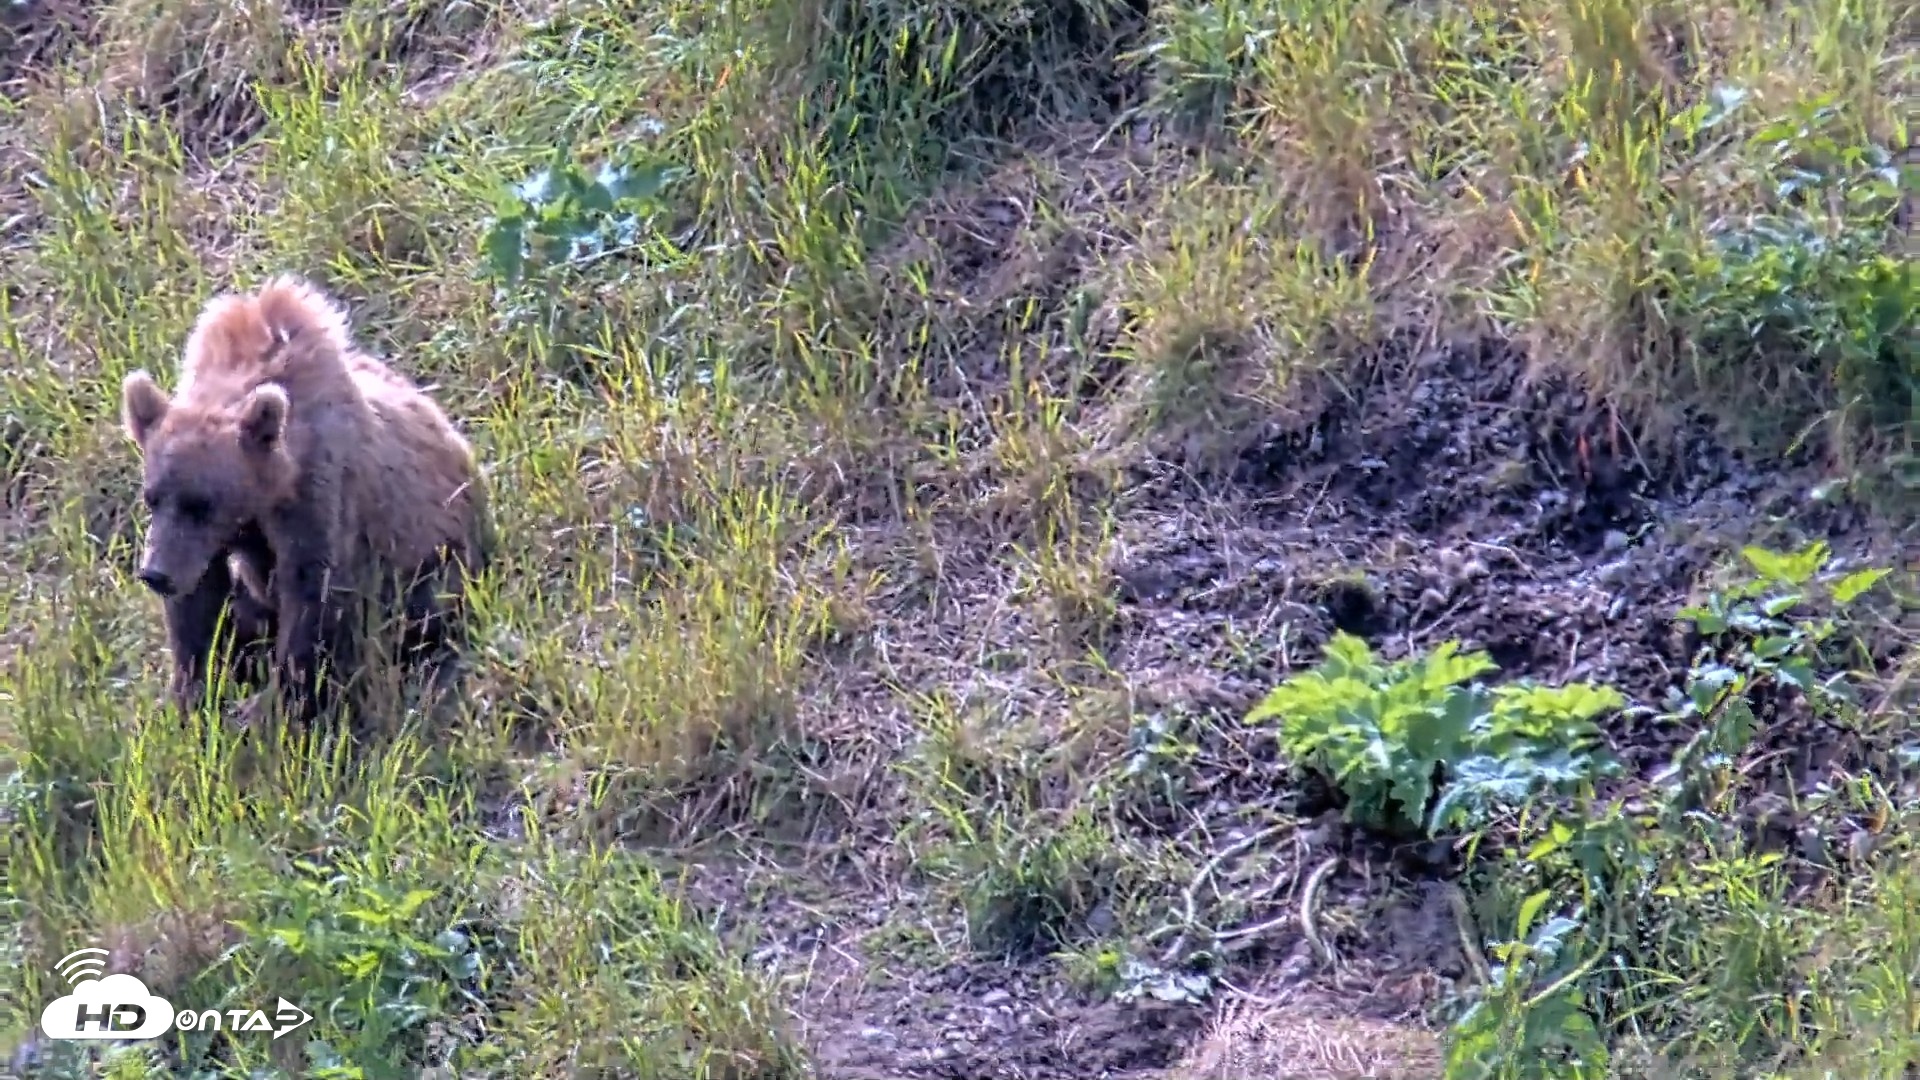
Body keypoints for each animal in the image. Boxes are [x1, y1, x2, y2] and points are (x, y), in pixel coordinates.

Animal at [119, 273, 494, 730]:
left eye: (201, 503)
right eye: (152, 498)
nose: (156, 574)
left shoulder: (317, 496)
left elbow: (313, 596)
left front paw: (281, 707)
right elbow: (202, 606)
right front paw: (195, 695)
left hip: (437, 560)